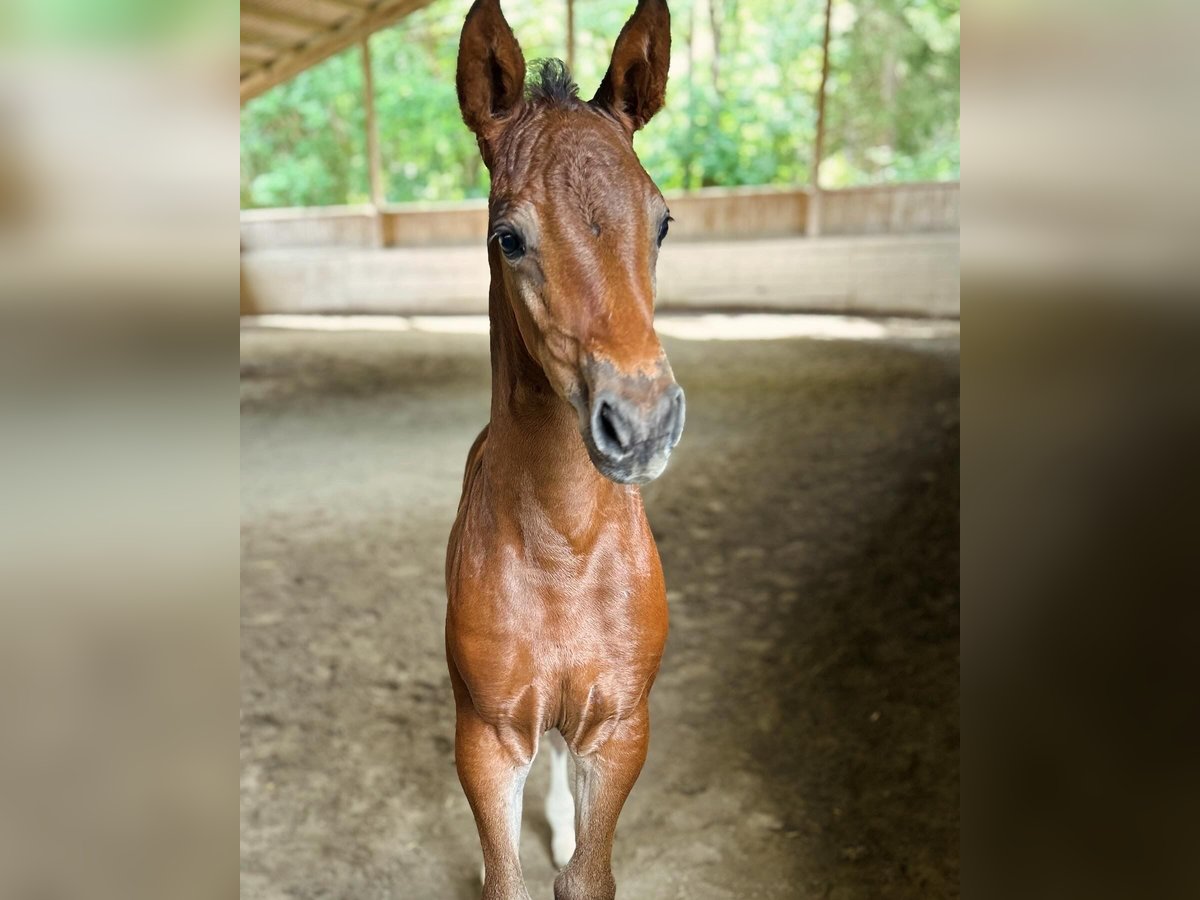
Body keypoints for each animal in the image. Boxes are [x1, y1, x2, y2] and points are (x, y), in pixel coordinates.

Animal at [444, 1, 686, 900]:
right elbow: (503, 880)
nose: (642, 423)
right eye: (508, 237)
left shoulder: (618, 726)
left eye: (662, 221)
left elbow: (588, 877)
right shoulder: (486, 737)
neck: (563, 546)